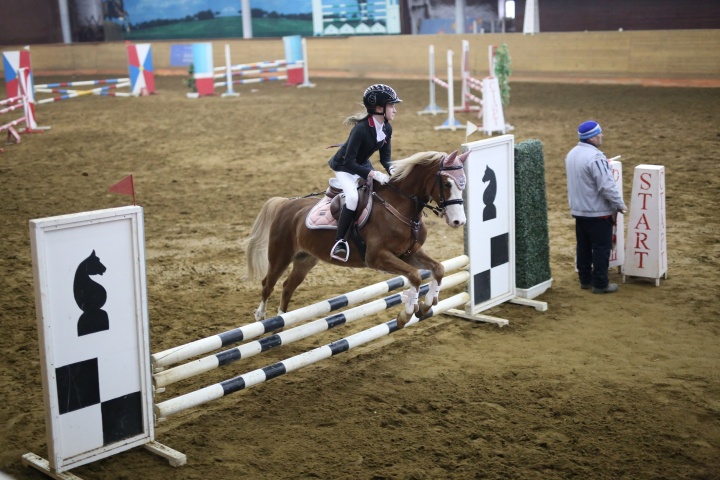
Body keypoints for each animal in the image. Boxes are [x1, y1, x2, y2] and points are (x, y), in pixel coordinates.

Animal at [245, 151, 470, 330]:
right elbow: (415, 276)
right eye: (447, 183)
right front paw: (405, 315)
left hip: (305, 259)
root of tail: (286, 204)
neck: (399, 206)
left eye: (463, 183)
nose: (459, 221)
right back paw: (261, 317)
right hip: (280, 256)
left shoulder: (409, 254)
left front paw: (425, 305)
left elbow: (438, 269)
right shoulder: (378, 257)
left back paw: (281, 322)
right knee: (268, 284)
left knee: (288, 286)